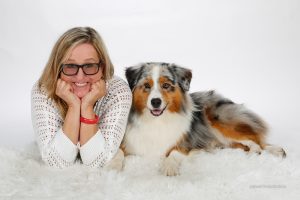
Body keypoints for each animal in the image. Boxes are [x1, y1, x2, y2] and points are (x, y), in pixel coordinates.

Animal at [113, 62, 284, 175]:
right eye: (147, 86)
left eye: (166, 85)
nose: (156, 102)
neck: (156, 121)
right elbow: (117, 152)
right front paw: (112, 167)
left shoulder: (189, 142)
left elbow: (174, 152)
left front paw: (169, 167)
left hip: (217, 120)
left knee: (255, 140)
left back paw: (262, 152)